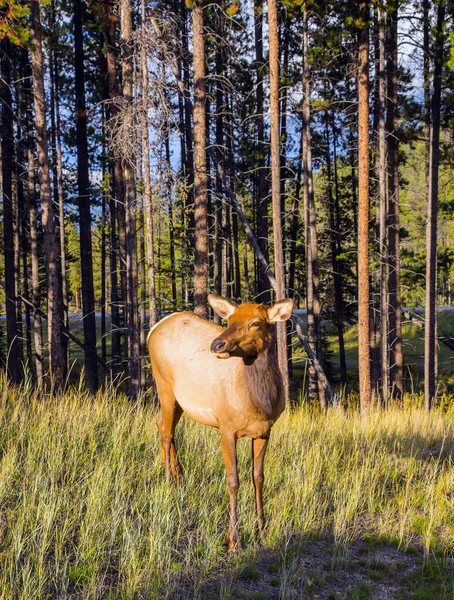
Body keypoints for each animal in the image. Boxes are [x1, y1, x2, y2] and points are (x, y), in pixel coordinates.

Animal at [147, 292, 292, 552]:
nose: (217, 345)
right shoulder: (226, 427)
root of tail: (153, 329)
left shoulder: (265, 431)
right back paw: (168, 482)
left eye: (256, 323)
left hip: (180, 400)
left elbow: (258, 477)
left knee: (163, 426)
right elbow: (233, 480)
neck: (259, 404)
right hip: (163, 385)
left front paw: (261, 528)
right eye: (230, 319)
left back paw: (180, 478)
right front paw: (233, 540)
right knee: (166, 432)